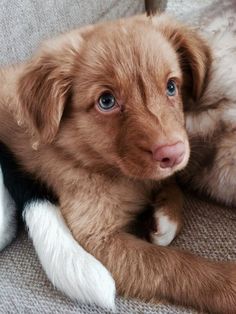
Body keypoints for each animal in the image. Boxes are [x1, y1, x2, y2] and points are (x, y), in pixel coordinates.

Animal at [0, 14, 235, 314]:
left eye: (171, 86)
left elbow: (171, 185)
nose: (174, 153)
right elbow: (169, 265)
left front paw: (164, 218)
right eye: (106, 101)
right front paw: (228, 283)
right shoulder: (95, 239)